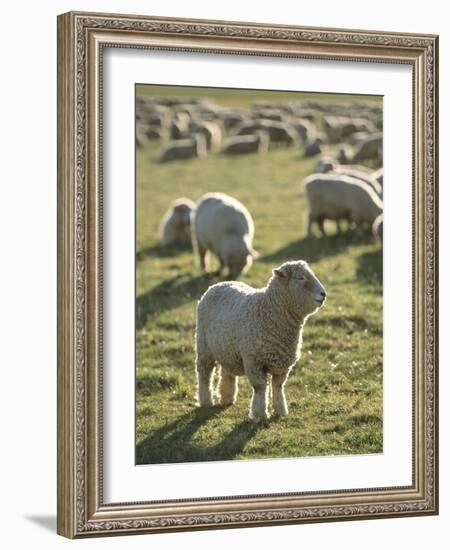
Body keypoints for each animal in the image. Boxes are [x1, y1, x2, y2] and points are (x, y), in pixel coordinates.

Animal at [195, 260, 326, 420]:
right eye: (300, 278)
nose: (323, 294)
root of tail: (218, 284)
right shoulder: (254, 362)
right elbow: (260, 388)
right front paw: (259, 415)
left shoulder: (282, 364)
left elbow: (278, 387)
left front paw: (280, 411)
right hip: (204, 347)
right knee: (204, 374)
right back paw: (206, 401)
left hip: (227, 348)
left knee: (226, 372)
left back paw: (227, 398)